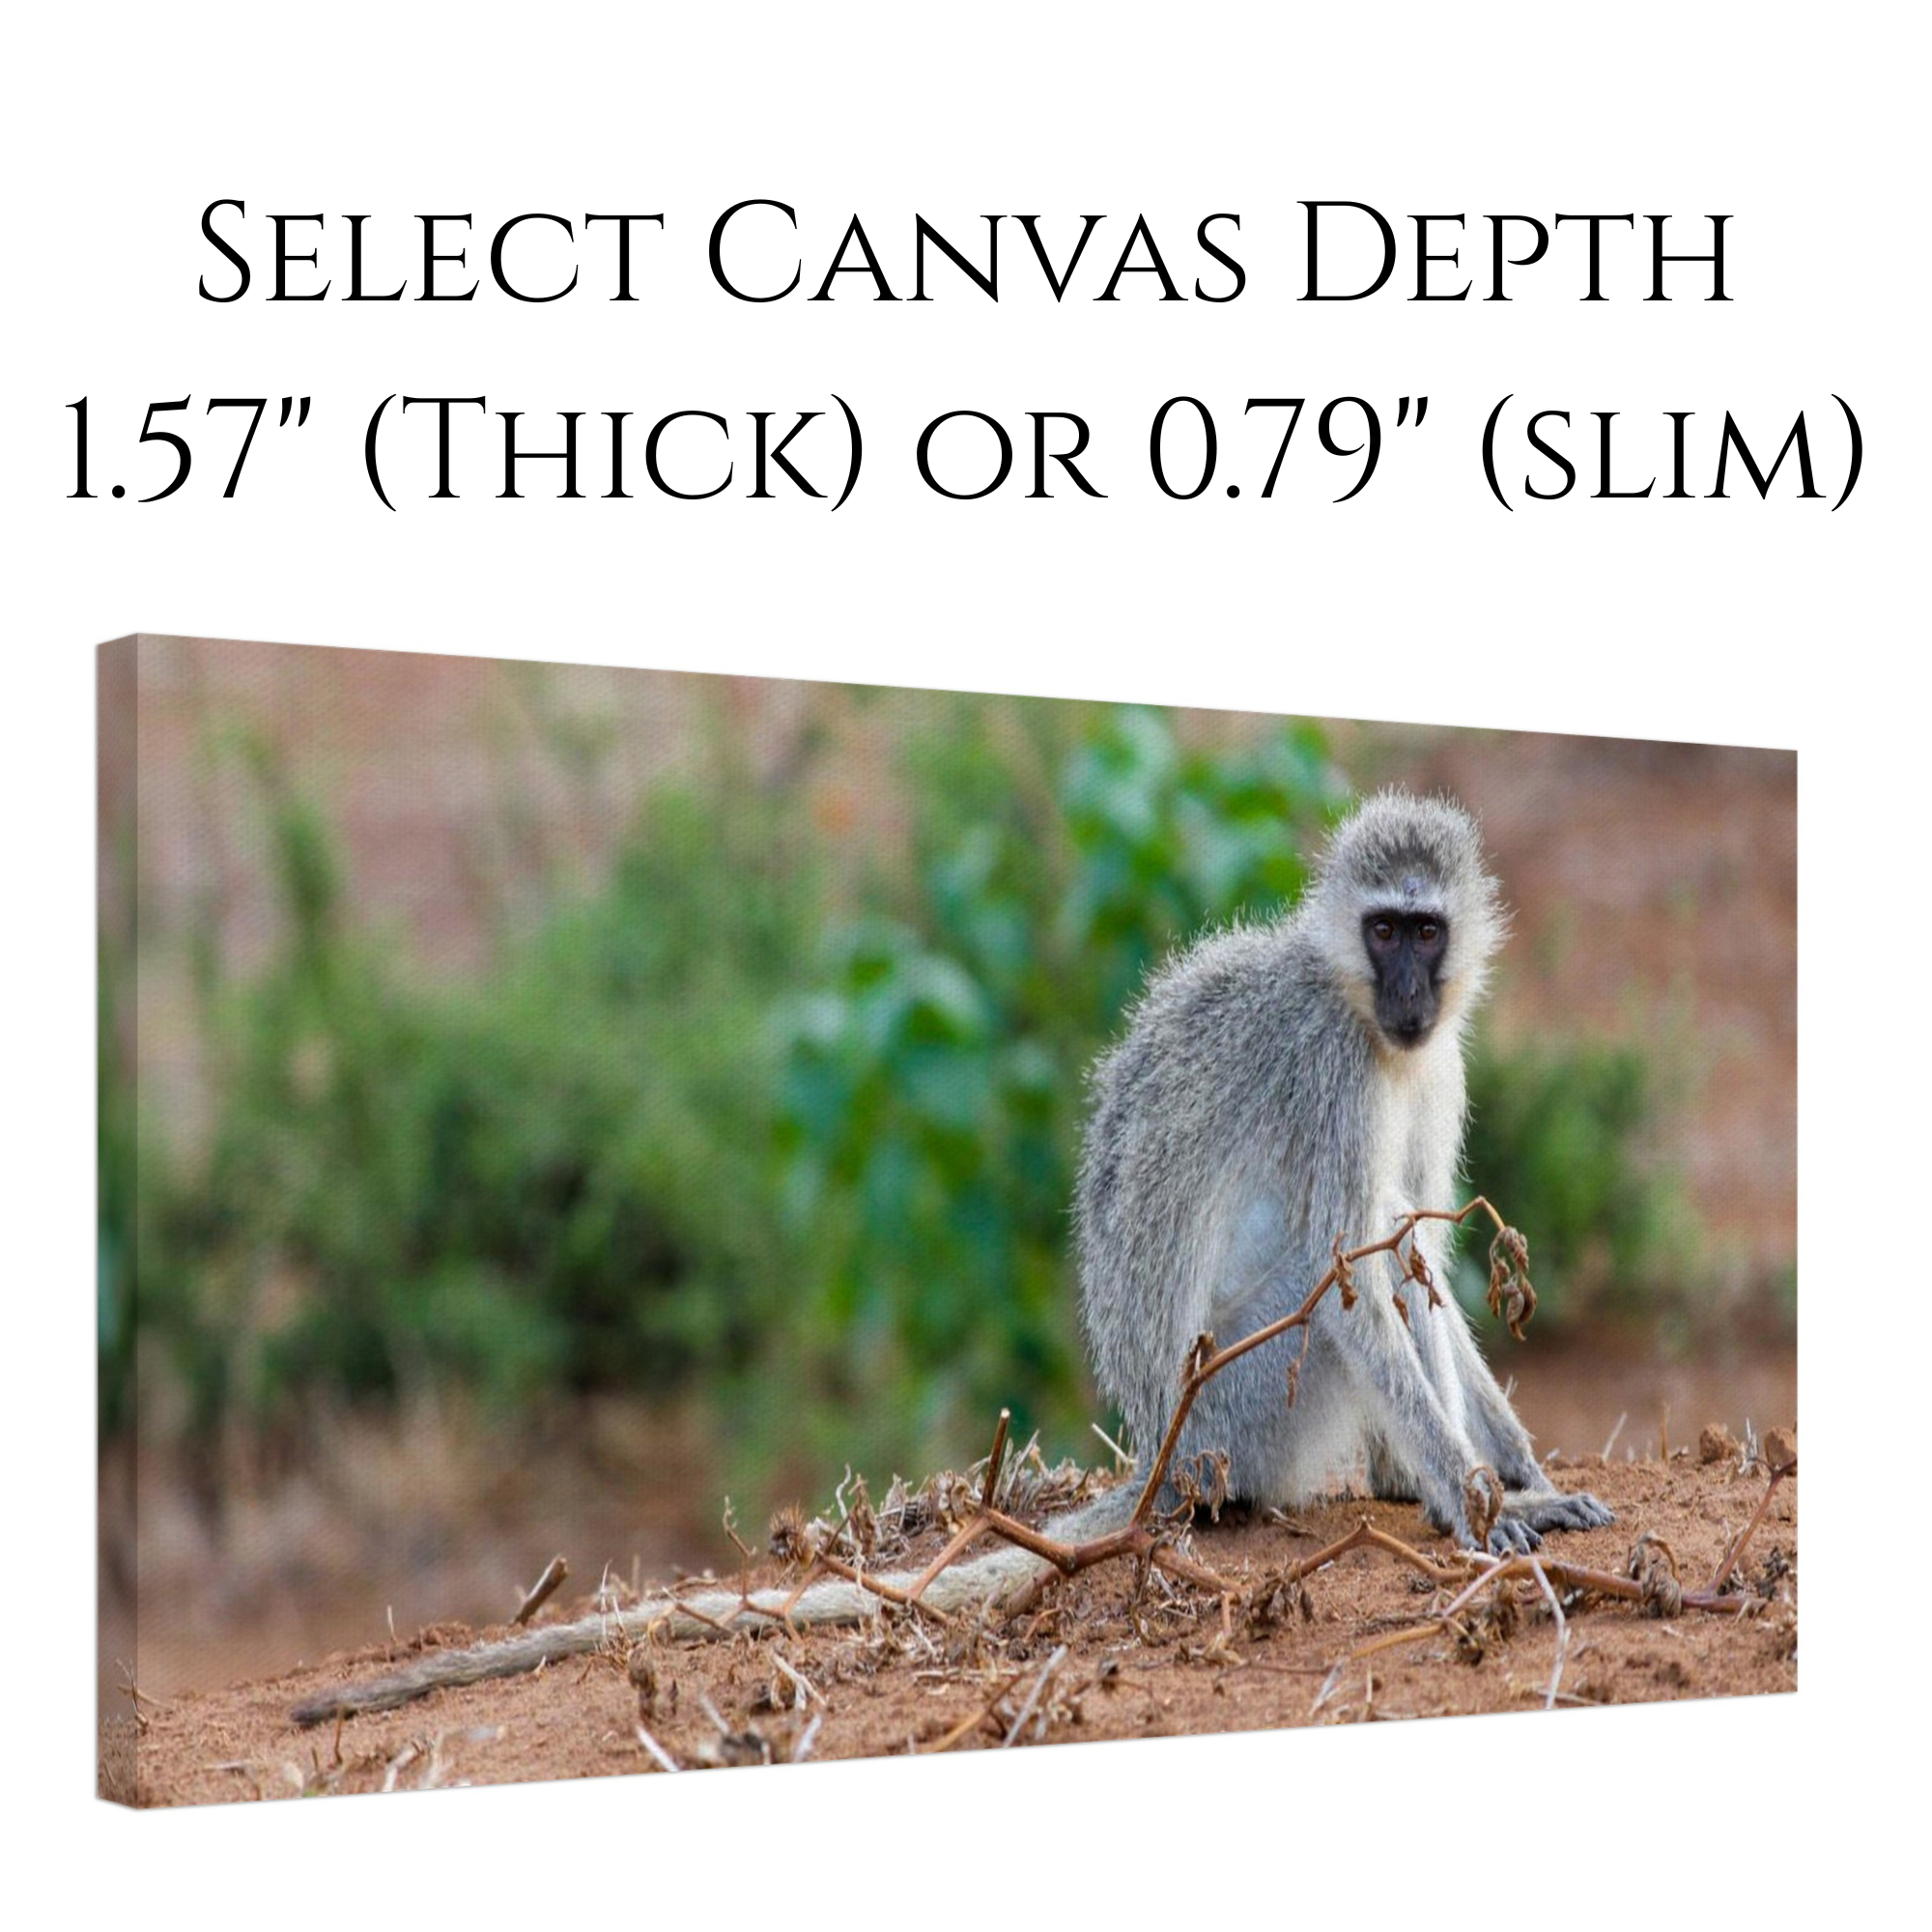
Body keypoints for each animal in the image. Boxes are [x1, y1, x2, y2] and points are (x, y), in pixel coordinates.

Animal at [290, 789, 1605, 1727]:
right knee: (1341, 1287)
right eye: (1381, 927)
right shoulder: (1329, 1071)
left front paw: (1521, 1475)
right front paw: (1482, 1501)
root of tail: (1164, 1455)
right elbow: (1356, 1272)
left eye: (1424, 929)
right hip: (1249, 1406)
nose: (1406, 986)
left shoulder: (1431, 1061)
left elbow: (1422, 1239)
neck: (1365, 1019)